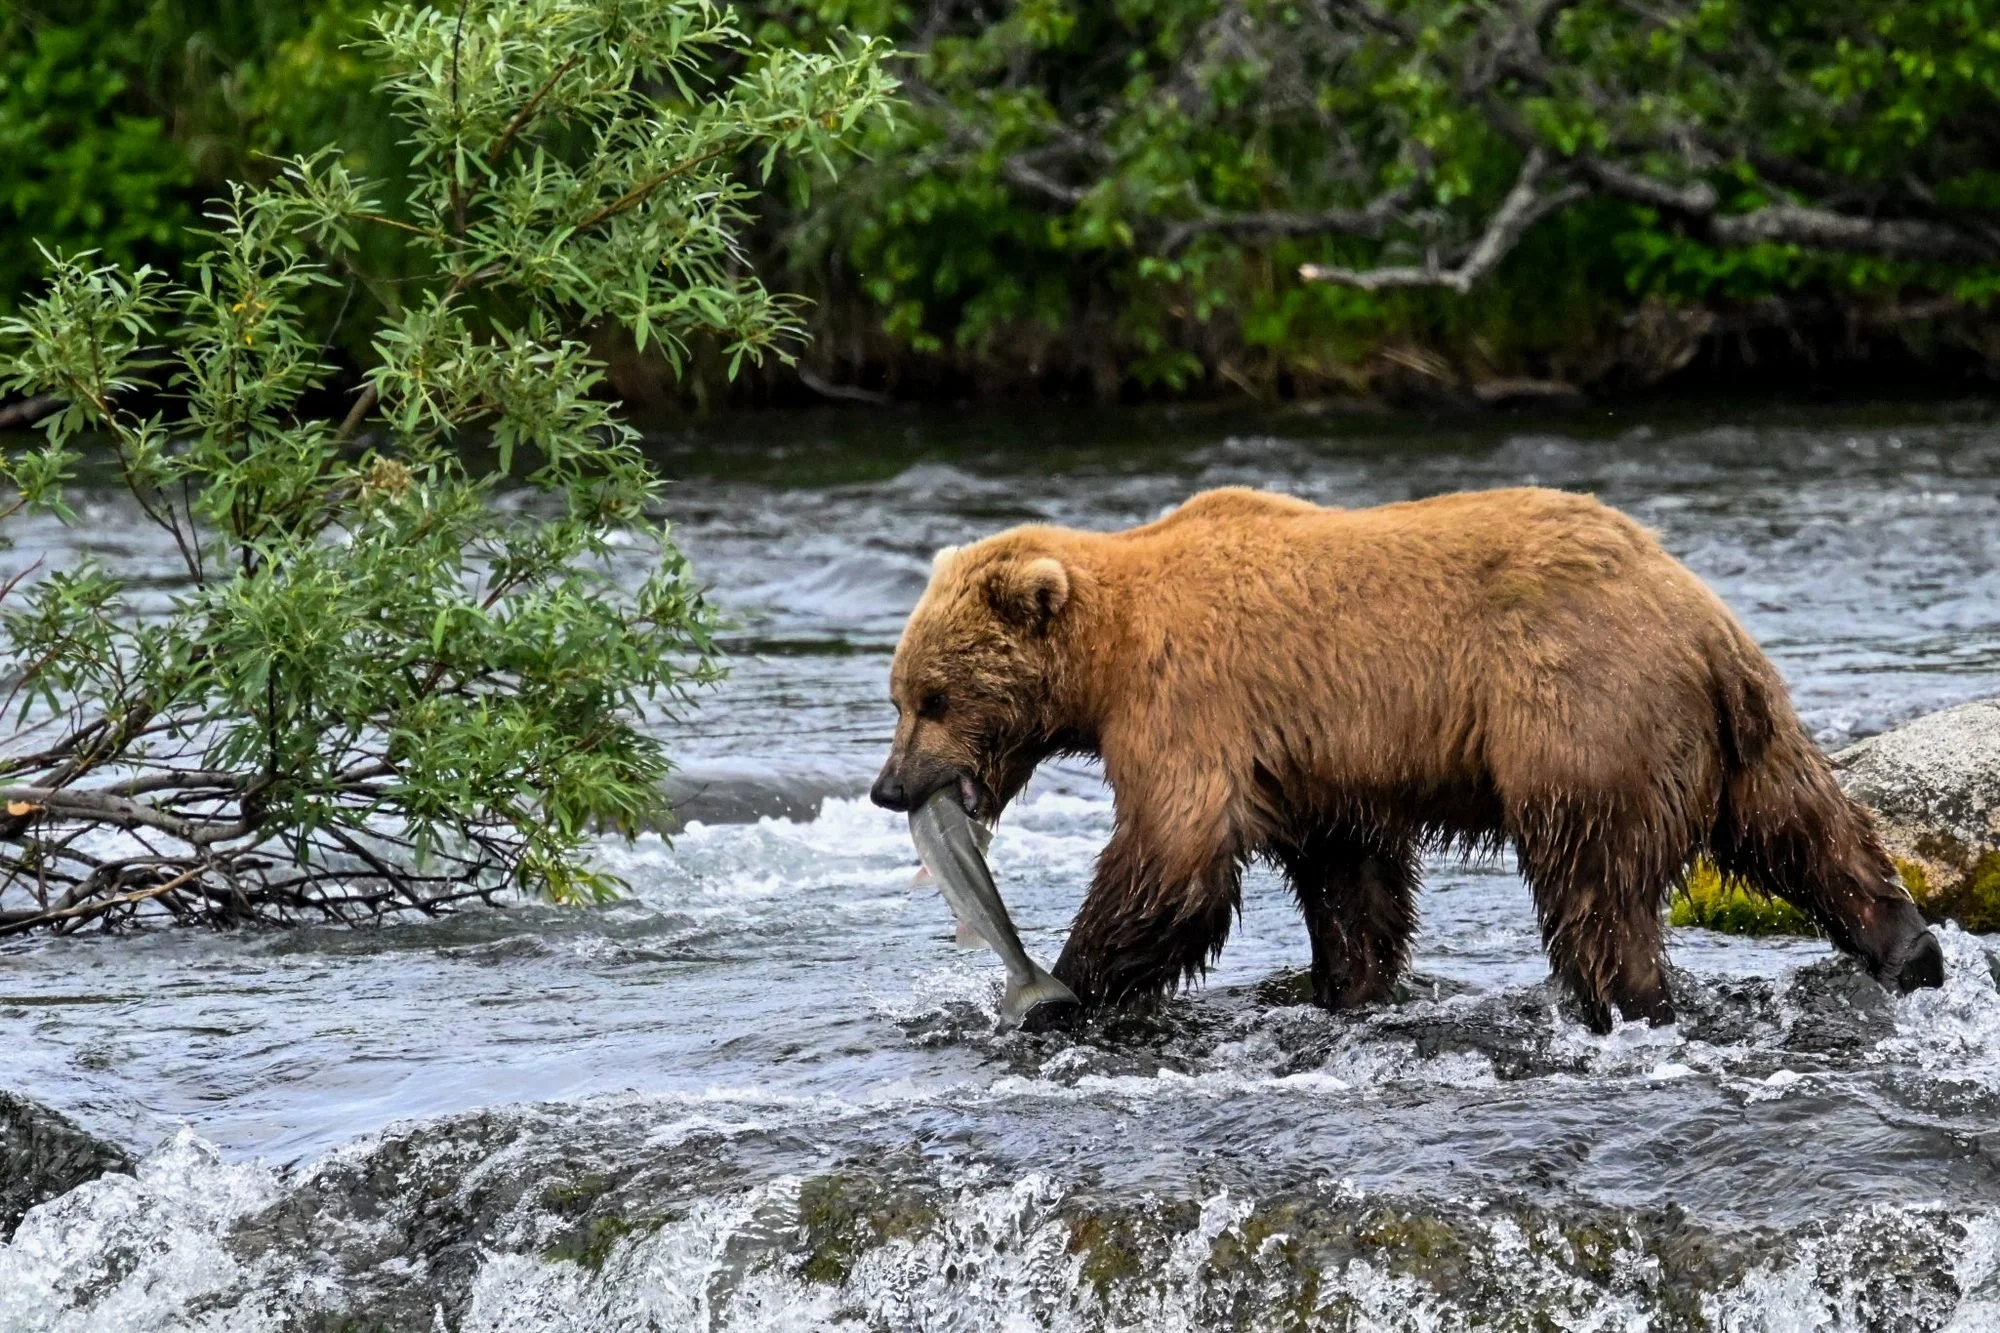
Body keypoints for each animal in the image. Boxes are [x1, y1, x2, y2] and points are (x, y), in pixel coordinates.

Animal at [869, 486, 1945, 1031]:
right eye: (898, 694)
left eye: (935, 696)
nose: (888, 786)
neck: (1107, 659)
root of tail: (1699, 617)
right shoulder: (1316, 757)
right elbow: (1351, 877)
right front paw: (1344, 985)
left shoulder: (1191, 707)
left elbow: (1172, 861)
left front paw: (1067, 982)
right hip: (1738, 725)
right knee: (1800, 821)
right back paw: (1906, 946)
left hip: (1579, 714)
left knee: (1592, 879)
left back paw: (1623, 999)